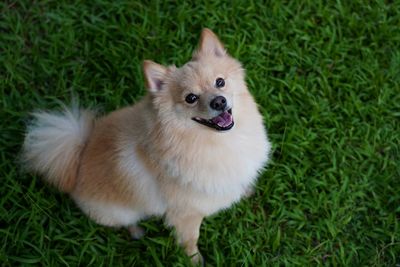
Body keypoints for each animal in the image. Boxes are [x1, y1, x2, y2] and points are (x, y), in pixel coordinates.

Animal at [22, 28, 272, 264]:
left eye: (220, 82)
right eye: (190, 98)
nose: (219, 101)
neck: (214, 141)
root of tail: (80, 156)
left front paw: (245, 190)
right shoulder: (185, 215)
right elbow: (191, 240)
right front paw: (194, 259)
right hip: (118, 212)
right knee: (124, 221)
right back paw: (136, 230)